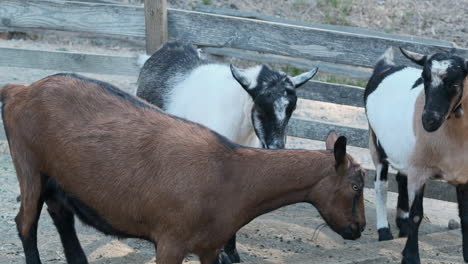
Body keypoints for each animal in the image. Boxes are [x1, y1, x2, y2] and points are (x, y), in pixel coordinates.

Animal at [2, 72, 366, 264]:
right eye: (356, 186)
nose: (359, 228)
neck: (233, 175)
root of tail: (20, 91)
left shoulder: (209, 246)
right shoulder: (170, 242)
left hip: (58, 178)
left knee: (61, 215)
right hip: (29, 166)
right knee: (25, 222)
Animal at [366, 47, 468, 264]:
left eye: (455, 83)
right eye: (424, 78)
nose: (428, 120)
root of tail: (385, 66)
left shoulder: (463, 175)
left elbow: (465, 216)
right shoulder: (420, 172)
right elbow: (417, 215)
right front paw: (411, 256)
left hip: (405, 151)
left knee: (401, 178)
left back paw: (402, 225)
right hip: (375, 141)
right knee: (381, 185)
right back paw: (384, 231)